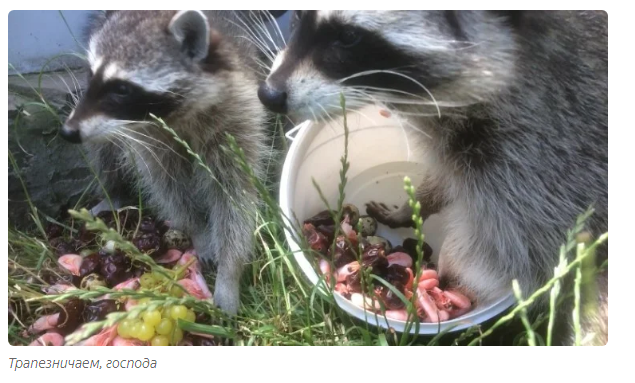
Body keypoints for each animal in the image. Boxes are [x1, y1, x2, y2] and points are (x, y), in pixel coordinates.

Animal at [59, 10, 268, 316]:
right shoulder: (146, 138)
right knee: (103, 149)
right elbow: (168, 187)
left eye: (122, 89)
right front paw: (199, 230)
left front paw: (230, 271)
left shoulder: (235, 116)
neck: (177, 115)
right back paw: (114, 192)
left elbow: (233, 197)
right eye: (90, 74)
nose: (68, 131)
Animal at [260, 10, 608, 344]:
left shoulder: (541, 150)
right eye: (299, 16)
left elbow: (515, 241)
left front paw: (454, 268)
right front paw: (412, 208)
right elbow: (445, 182)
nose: (268, 94)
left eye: (349, 37)